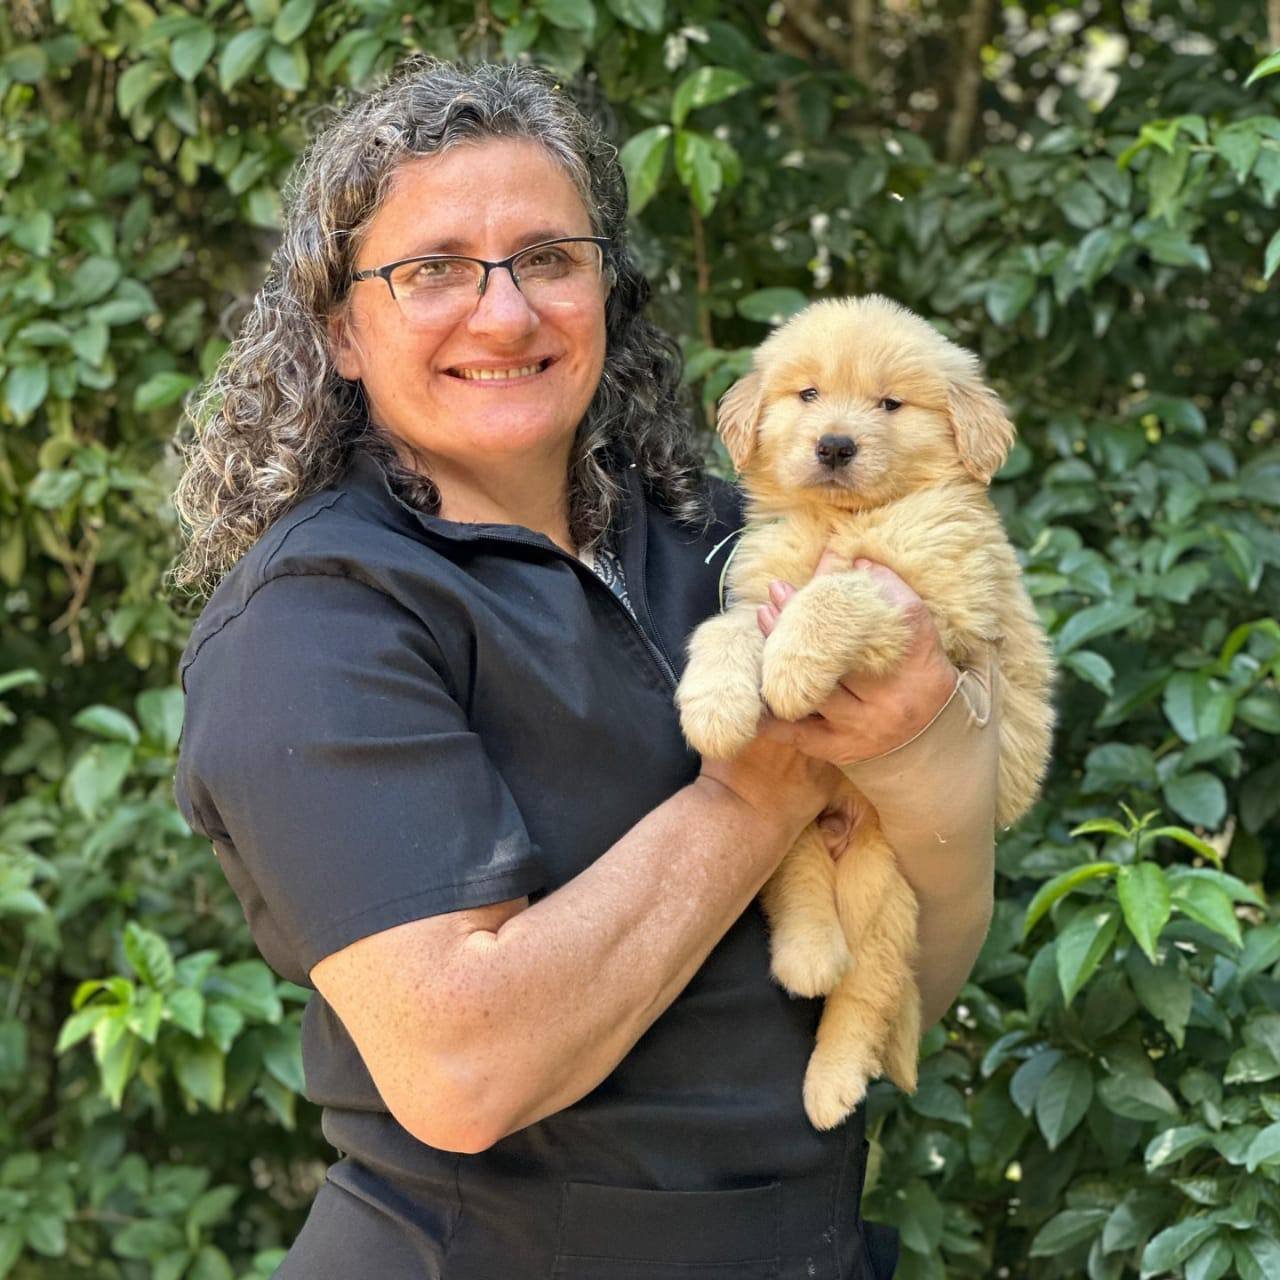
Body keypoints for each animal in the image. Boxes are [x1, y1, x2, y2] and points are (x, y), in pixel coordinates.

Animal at [676, 295, 1055, 1129]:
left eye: (890, 404)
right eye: (809, 394)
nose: (835, 444)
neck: (846, 518)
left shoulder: (937, 601)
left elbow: (840, 590)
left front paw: (790, 665)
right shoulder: (758, 587)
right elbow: (726, 629)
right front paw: (714, 704)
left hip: (884, 880)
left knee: (869, 988)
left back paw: (833, 1082)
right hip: (797, 835)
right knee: (797, 893)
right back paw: (807, 958)